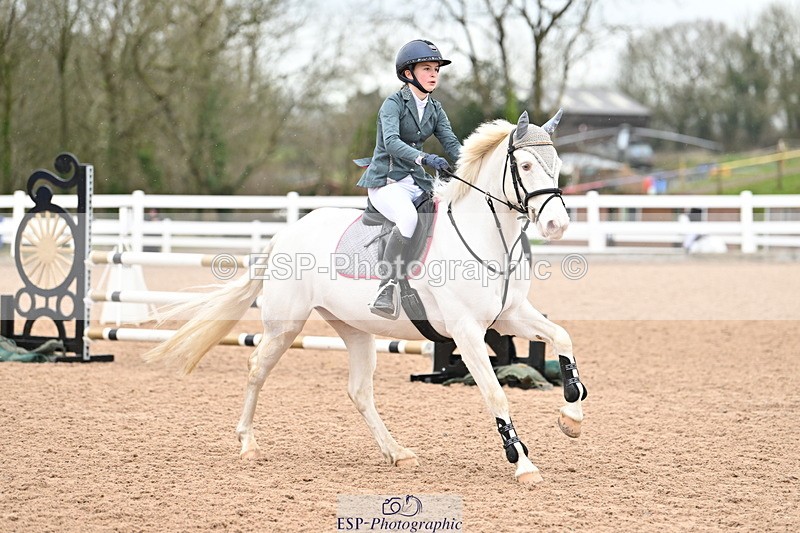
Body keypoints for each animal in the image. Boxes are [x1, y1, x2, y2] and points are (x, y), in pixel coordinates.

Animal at [144, 111, 587, 484]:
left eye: (556, 165)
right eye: (525, 166)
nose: (557, 224)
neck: (486, 237)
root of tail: (287, 232)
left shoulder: (509, 316)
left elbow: (562, 336)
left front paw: (572, 414)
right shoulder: (466, 331)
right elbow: (496, 393)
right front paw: (523, 463)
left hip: (355, 329)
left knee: (358, 391)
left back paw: (397, 452)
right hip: (286, 324)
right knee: (257, 368)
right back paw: (248, 444)